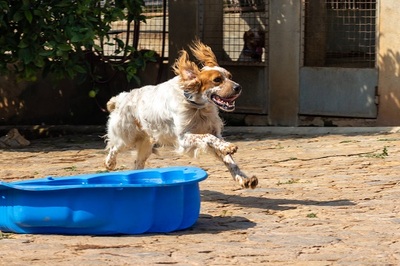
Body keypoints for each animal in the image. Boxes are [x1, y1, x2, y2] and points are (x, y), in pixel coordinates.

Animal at [104, 39, 258, 189]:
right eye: (217, 80)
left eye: (230, 76)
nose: (238, 87)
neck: (198, 108)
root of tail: (121, 98)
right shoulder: (183, 138)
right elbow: (207, 137)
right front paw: (228, 147)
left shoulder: (215, 133)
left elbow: (228, 158)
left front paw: (243, 178)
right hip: (126, 138)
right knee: (113, 147)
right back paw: (109, 163)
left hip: (146, 145)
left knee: (137, 164)